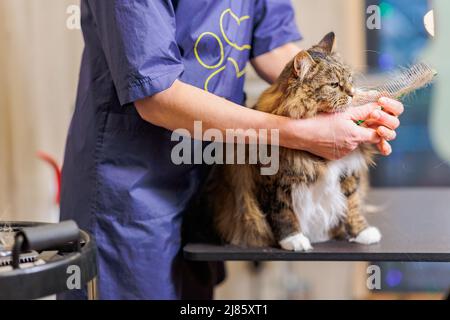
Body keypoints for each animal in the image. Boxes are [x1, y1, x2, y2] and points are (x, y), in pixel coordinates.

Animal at [202, 33, 382, 252]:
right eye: (333, 85)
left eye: (349, 79)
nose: (352, 93)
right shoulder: (273, 183)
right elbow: (282, 213)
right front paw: (294, 240)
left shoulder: (347, 171)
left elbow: (352, 203)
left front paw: (363, 232)